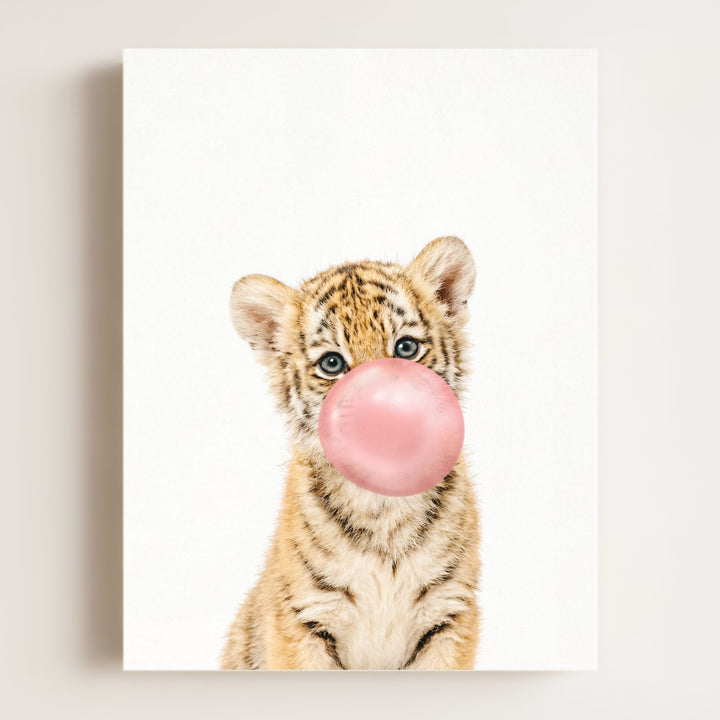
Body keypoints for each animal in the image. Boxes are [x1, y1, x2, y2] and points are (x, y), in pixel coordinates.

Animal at [221, 236, 480, 670]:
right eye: (332, 363)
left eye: (405, 348)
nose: (384, 413)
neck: (384, 505)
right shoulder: (303, 619)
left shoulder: (450, 613)